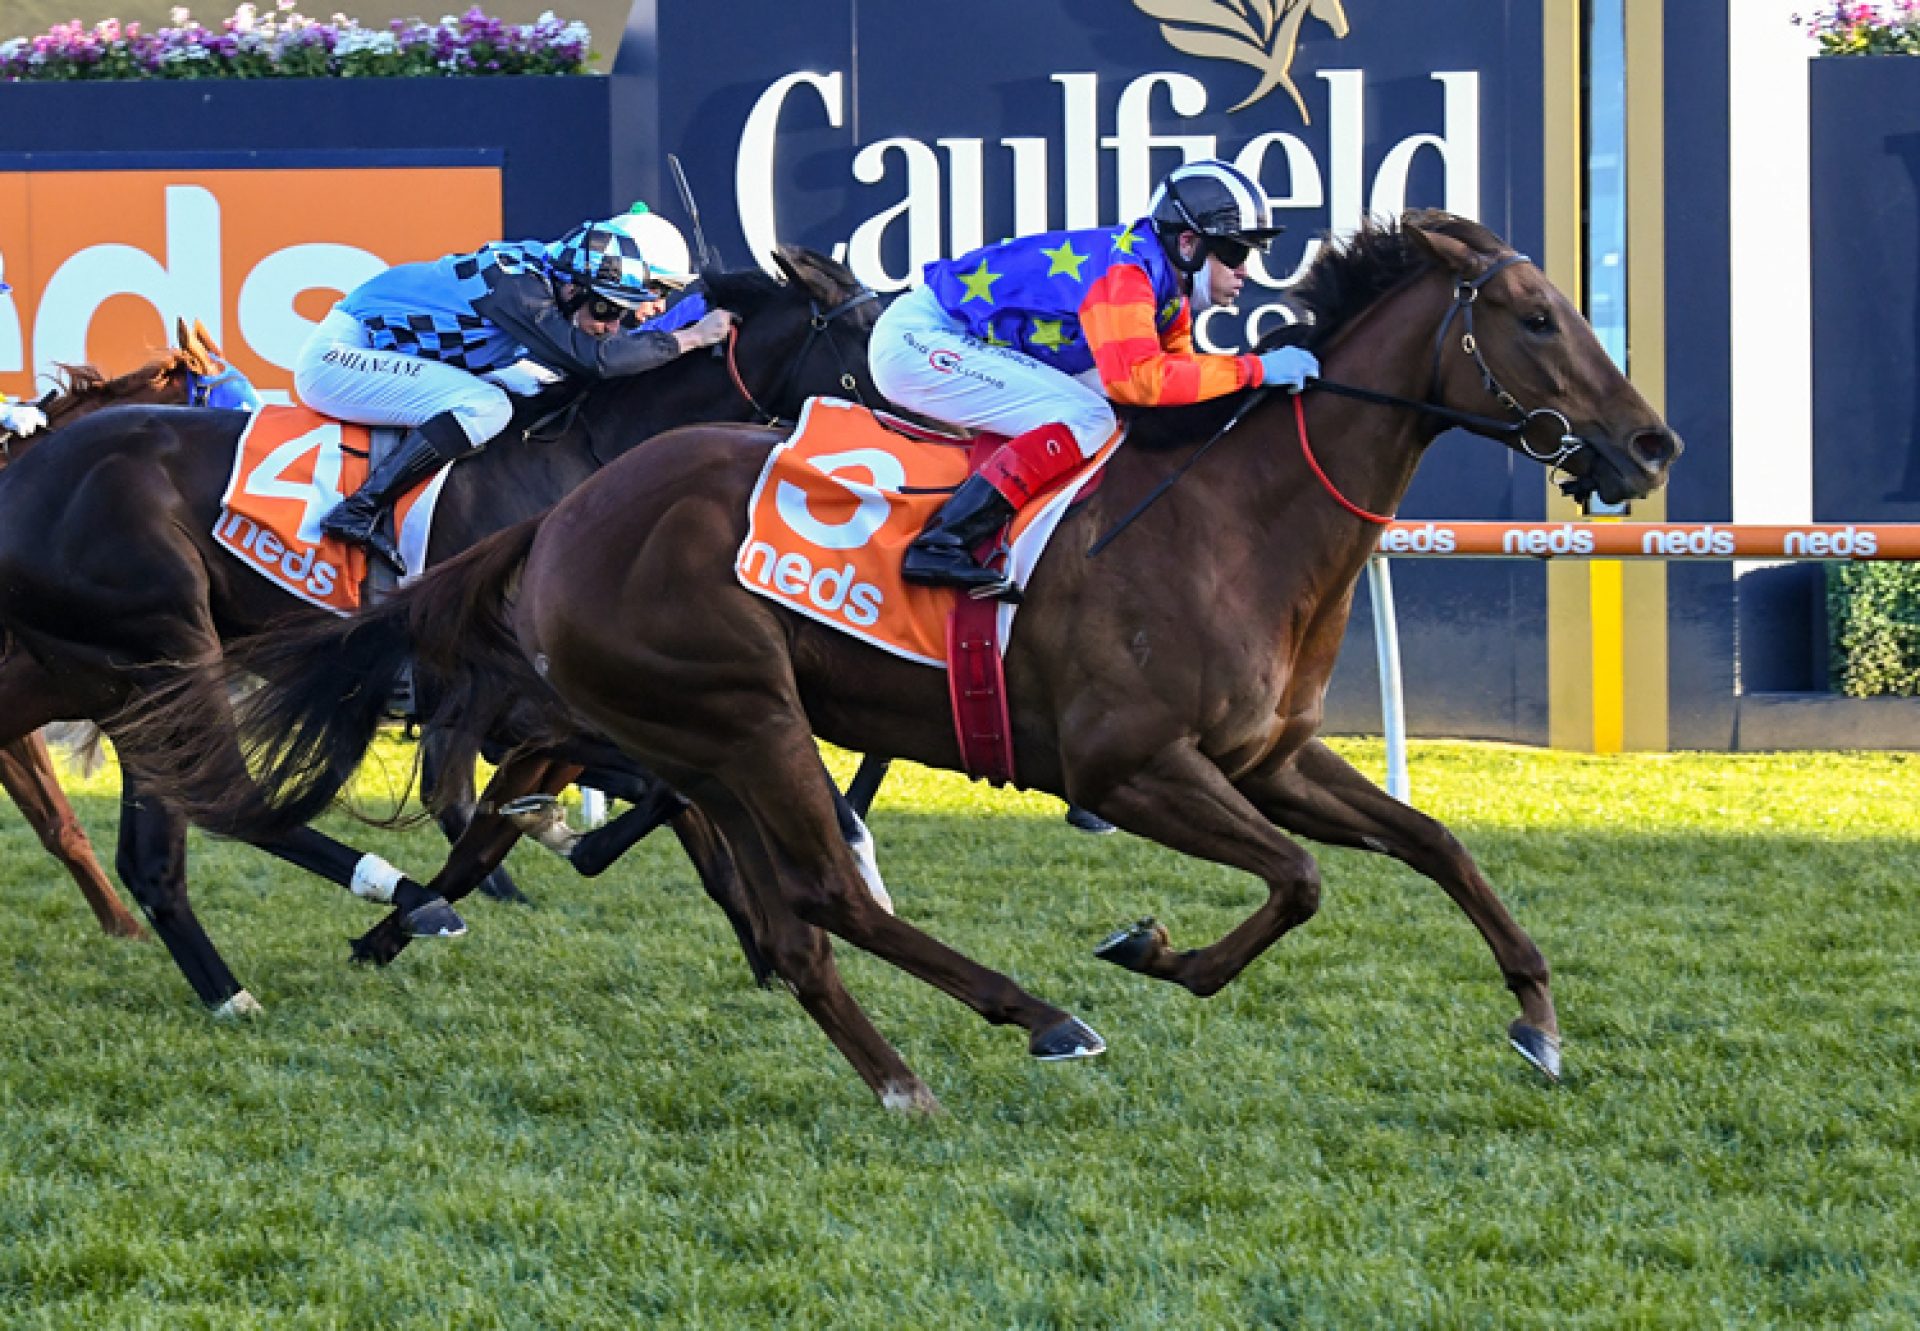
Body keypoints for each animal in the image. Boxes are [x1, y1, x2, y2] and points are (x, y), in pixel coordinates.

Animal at [153, 215, 1681, 1113]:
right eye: (1535, 317)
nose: (1650, 444)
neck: (1234, 523)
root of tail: (563, 510)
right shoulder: (1132, 768)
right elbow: (1298, 881)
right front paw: (1152, 948)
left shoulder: (1271, 755)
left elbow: (1435, 843)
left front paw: (1539, 1021)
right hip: (740, 712)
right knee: (820, 890)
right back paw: (1037, 1016)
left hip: (709, 735)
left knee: (790, 915)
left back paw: (900, 1063)